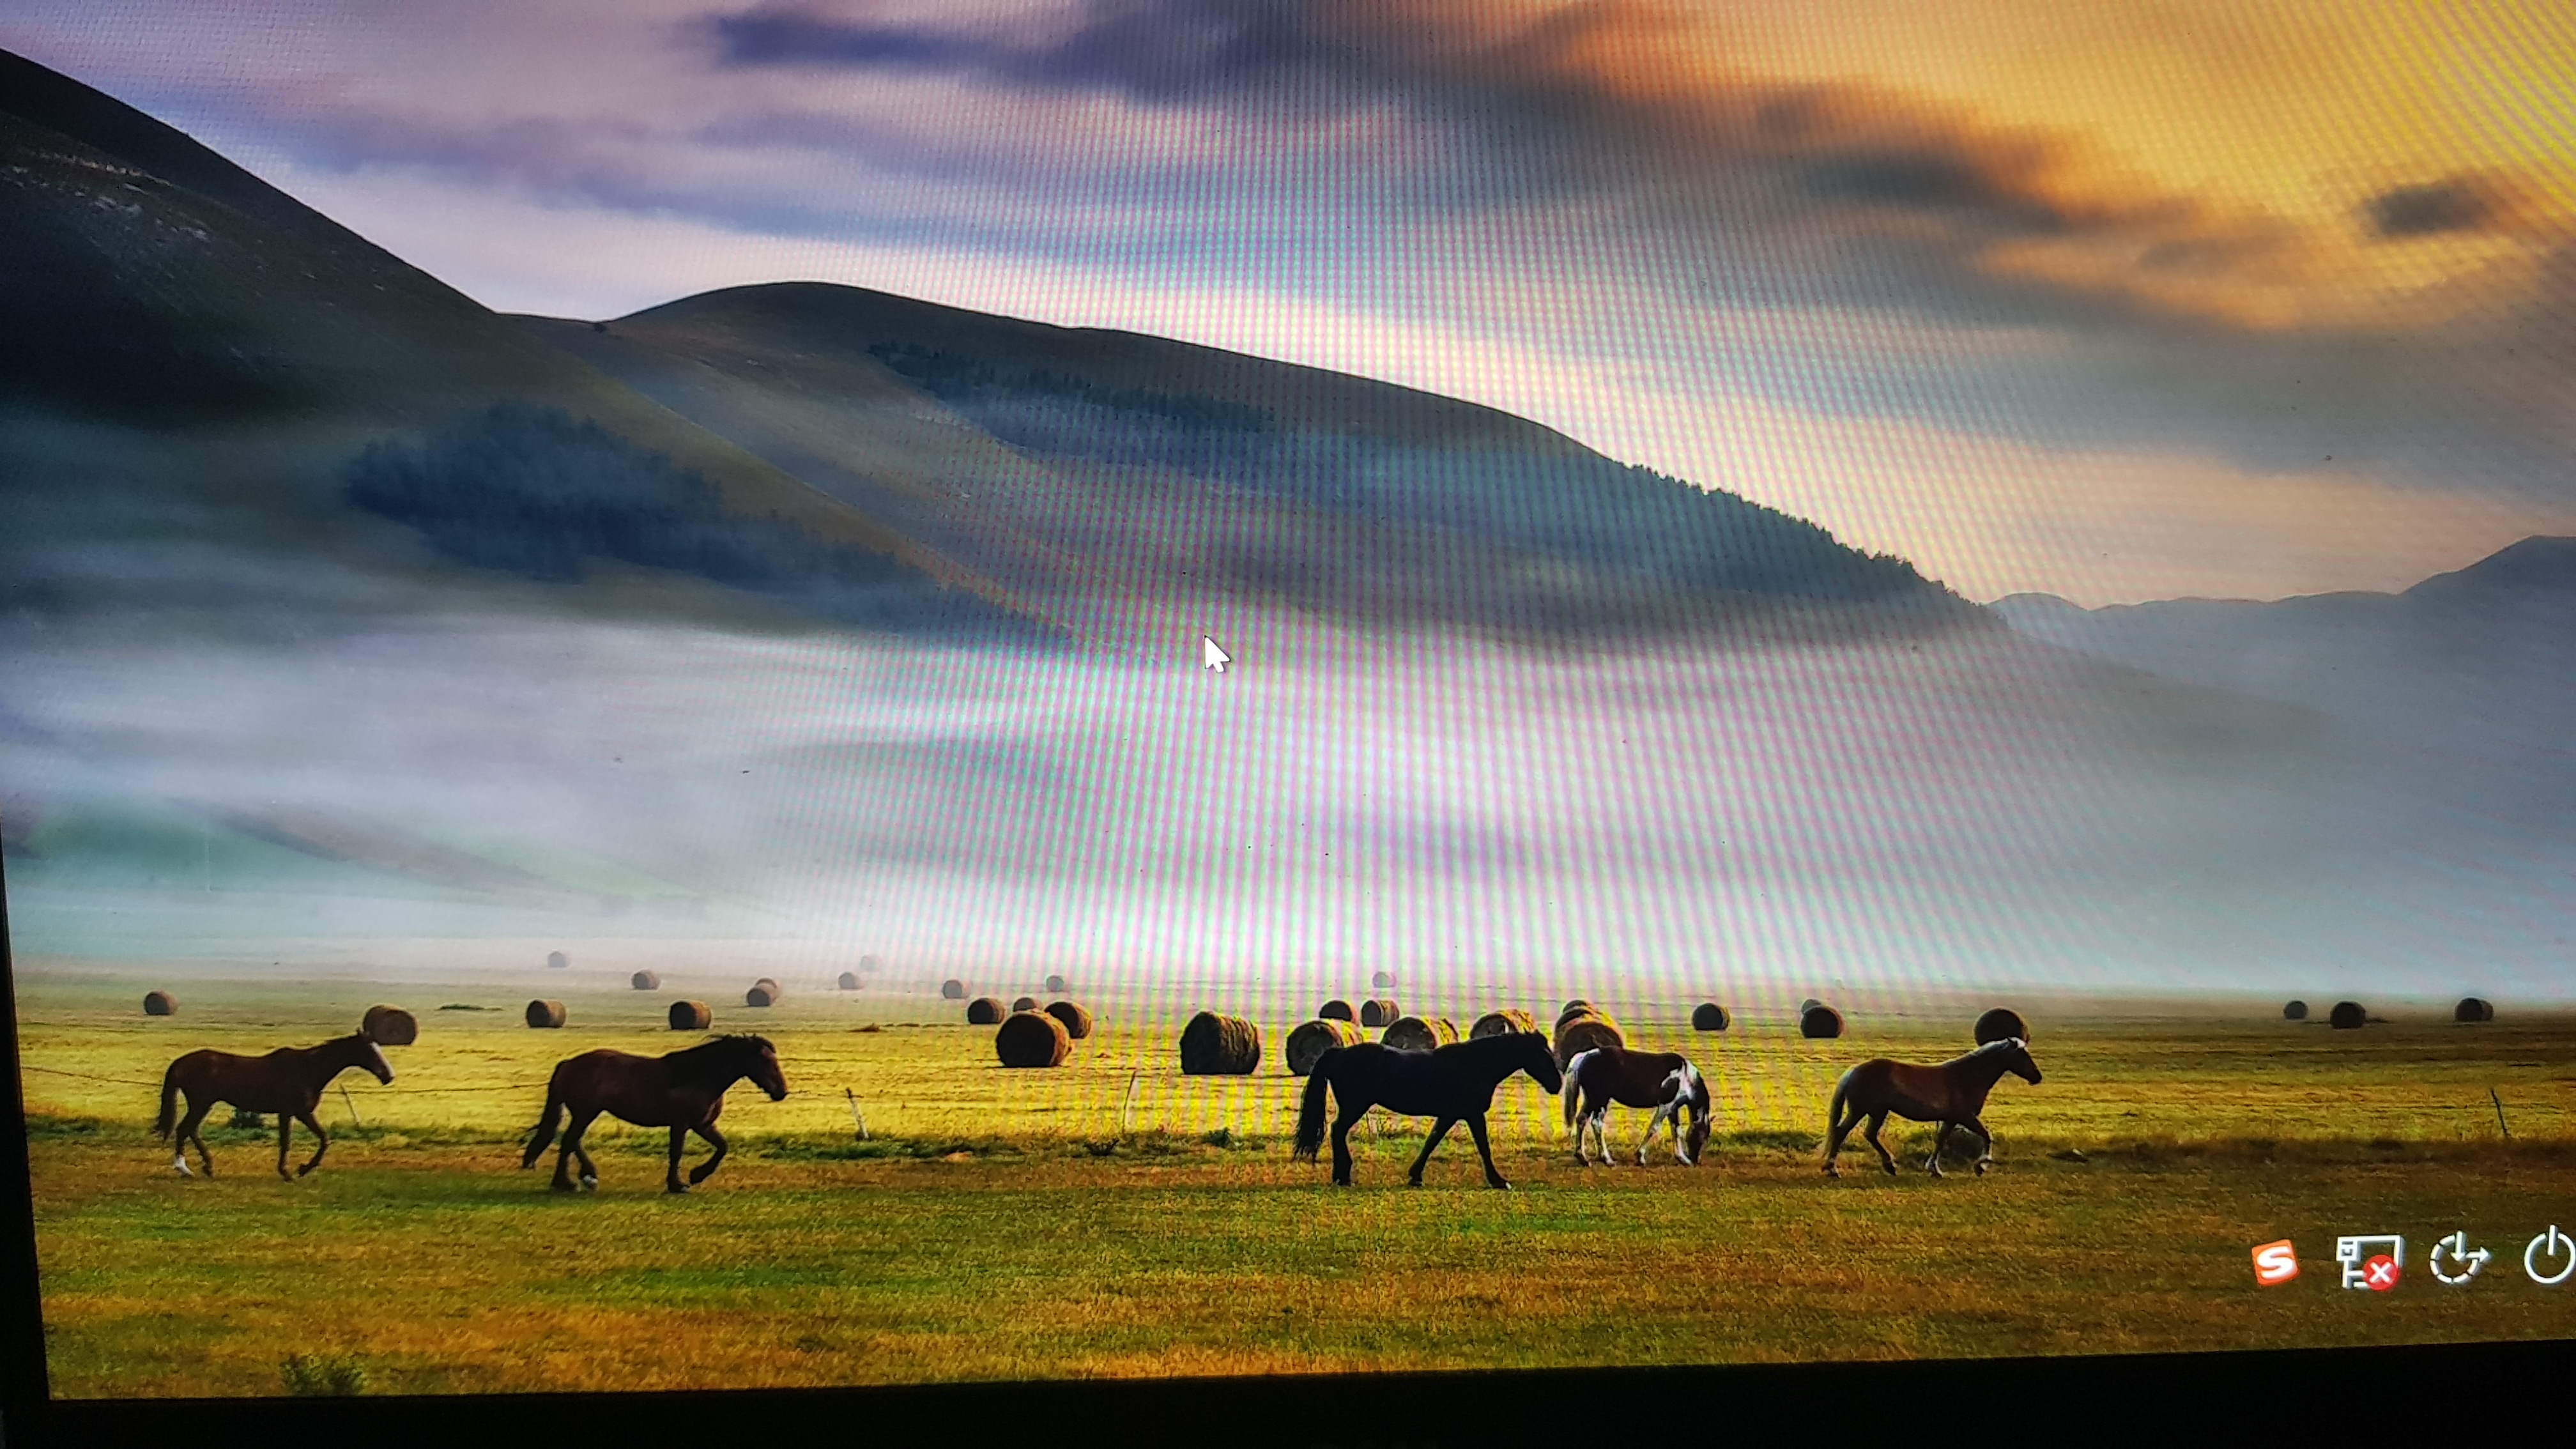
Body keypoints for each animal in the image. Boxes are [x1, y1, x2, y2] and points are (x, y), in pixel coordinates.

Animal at [155, 1026, 394, 1176]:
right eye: (369, 1050)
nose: (388, 1076)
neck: (307, 1069)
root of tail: (181, 1062)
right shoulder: (295, 1113)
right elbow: (295, 1141)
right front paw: (292, 1171)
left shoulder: (296, 1114)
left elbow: (319, 1139)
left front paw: (298, 1169)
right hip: (202, 1103)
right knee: (184, 1129)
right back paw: (184, 1169)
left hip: (203, 1104)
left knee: (191, 1130)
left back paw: (207, 1167)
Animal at [520, 1031, 783, 1191]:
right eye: (766, 1062)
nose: (782, 1091)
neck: (695, 1076)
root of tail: (567, 1064)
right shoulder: (681, 1124)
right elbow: (676, 1153)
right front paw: (677, 1185)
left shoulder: (702, 1125)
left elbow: (722, 1147)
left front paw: (697, 1175)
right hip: (586, 1112)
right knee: (568, 1141)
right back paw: (566, 1182)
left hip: (586, 1112)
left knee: (572, 1140)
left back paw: (586, 1176)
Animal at [1298, 1026, 1556, 1186]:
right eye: (1541, 1054)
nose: (1557, 1084)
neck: (1474, 1065)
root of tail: (1338, 1052)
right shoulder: (1472, 1114)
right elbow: (1483, 1146)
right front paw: (1499, 1181)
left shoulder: (1450, 1115)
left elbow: (1432, 1140)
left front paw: (1415, 1176)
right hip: (1355, 1106)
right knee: (1338, 1131)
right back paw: (1343, 1177)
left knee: (1337, 1132)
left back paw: (1341, 1176)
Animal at [1556, 1036, 1721, 1160]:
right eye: (1703, 1136)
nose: (1695, 1159)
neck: (1685, 1077)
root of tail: (1585, 1056)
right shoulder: (1666, 1105)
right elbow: (1654, 1128)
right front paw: (1640, 1156)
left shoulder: (1673, 1107)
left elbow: (1676, 1130)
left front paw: (1681, 1158)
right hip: (1598, 1099)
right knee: (1590, 1121)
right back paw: (1595, 1158)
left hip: (1597, 1100)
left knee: (1589, 1121)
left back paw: (1593, 1158)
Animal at [1823, 1026, 2040, 1176]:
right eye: (2022, 1055)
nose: (2038, 1077)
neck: (1966, 1077)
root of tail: (1854, 1071)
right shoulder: (1966, 1117)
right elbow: (1987, 1136)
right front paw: (1981, 1166)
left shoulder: (1950, 1119)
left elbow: (1940, 1140)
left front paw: (1934, 1169)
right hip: (1864, 1111)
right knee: (1844, 1132)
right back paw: (1833, 1170)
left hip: (1874, 1112)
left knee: (1866, 1134)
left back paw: (1888, 1167)